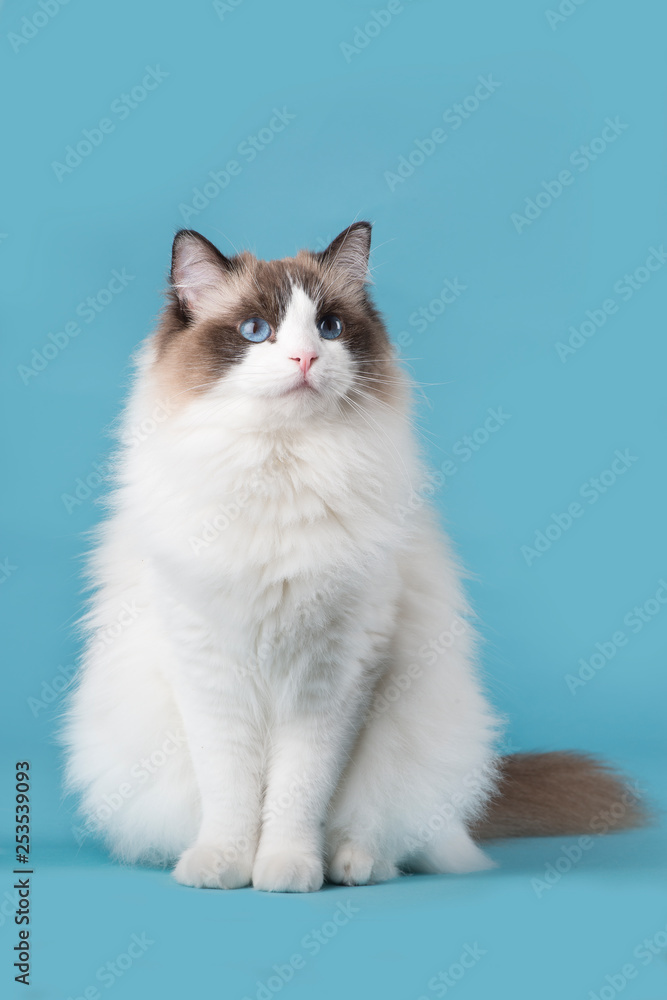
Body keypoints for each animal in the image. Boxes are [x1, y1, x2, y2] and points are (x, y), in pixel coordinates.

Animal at [65, 221, 644, 892]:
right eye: (256, 330)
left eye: (330, 328)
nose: (305, 359)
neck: (281, 470)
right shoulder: (211, 672)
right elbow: (231, 792)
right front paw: (225, 866)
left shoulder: (334, 675)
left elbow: (296, 793)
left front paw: (287, 869)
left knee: (385, 835)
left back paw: (351, 865)